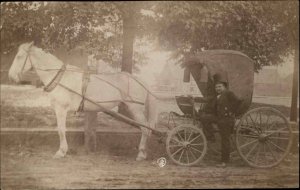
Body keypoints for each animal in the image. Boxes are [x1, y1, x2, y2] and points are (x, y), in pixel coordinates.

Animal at [8, 42, 158, 160]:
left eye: (19, 56)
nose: (10, 76)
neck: (61, 77)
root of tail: (139, 80)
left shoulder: (61, 108)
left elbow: (61, 129)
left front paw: (61, 152)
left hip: (136, 109)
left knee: (145, 128)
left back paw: (141, 153)